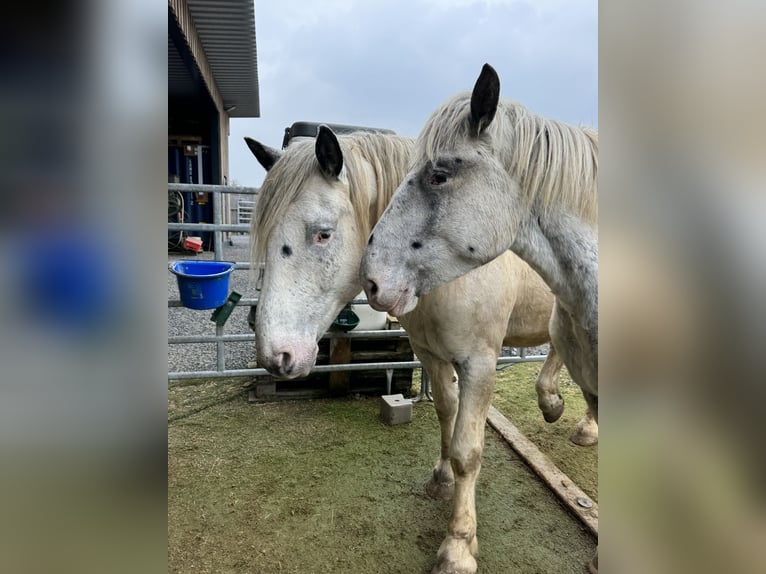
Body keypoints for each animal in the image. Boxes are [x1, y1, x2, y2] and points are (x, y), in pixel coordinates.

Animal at [249, 126, 596, 574]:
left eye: (322, 233)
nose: (276, 357)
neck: (439, 273)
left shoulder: (479, 364)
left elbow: (469, 450)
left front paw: (459, 545)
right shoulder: (430, 354)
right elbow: (446, 414)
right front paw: (441, 479)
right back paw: (556, 406)